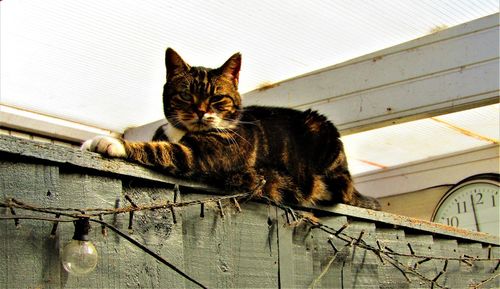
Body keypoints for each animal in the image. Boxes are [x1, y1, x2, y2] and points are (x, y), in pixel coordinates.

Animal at [82, 47, 380, 209]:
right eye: (186, 95)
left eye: (216, 98)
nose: (200, 111)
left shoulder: (204, 154)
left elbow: (160, 149)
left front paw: (107, 142)